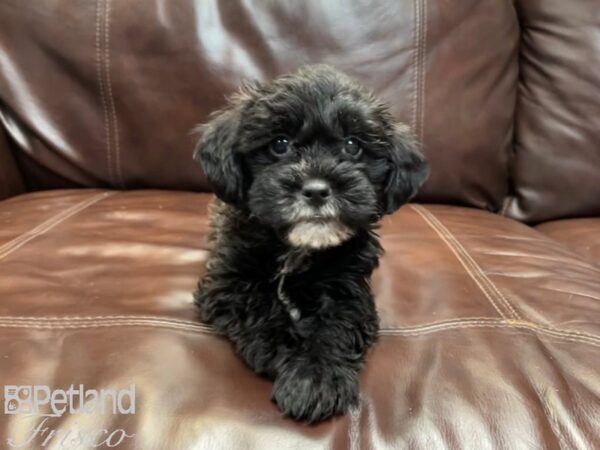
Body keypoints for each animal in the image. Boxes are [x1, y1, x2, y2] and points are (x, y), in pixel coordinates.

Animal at [192, 65, 426, 424]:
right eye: (280, 144)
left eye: (352, 146)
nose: (316, 190)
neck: (298, 248)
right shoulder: (227, 283)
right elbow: (260, 311)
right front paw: (297, 363)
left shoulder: (348, 287)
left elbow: (335, 325)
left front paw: (316, 377)